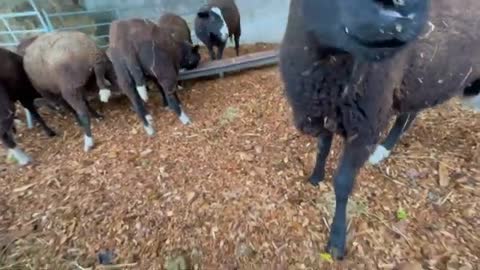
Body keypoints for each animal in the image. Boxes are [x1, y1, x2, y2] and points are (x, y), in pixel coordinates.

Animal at [278, 0, 480, 260]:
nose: (401, 23)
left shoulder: (366, 128)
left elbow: (342, 183)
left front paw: (337, 240)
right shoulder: (323, 114)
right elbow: (322, 149)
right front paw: (315, 177)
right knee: (409, 113)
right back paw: (384, 149)